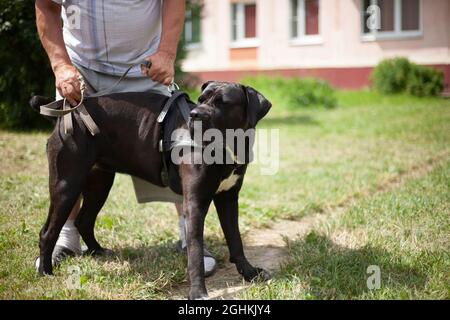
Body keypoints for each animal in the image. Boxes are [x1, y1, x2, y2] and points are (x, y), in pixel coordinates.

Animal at [31, 80, 272, 300]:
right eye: (201, 99)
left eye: (223, 102)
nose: (194, 115)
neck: (227, 146)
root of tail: (67, 113)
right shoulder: (195, 203)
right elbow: (195, 252)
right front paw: (198, 292)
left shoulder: (228, 198)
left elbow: (236, 240)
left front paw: (249, 273)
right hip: (67, 184)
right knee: (48, 232)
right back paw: (45, 272)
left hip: (100, 182)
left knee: (84, 220)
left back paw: (98, 251)